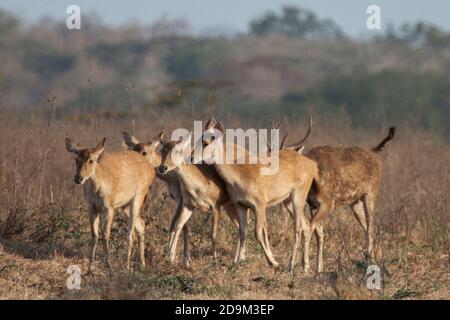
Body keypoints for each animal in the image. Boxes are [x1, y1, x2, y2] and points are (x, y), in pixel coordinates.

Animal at [64, 136, 156, 274]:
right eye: (76, 159)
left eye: (91, 160)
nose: (78, 178)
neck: (98, 186)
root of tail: (151, 170)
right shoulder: (92, 208)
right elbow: (95, 235)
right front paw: (90, 269)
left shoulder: (109, 208)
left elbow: (105, 234)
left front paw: (109, 268)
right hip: (125, 206)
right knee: (141, 224)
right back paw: (142, 265)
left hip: (138, 197)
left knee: (130, 234)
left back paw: (127, 267)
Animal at [202, 118, 318, 272]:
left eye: (209, 140)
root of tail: (311, 164)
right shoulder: (243, 206)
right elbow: (246, 231)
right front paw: (237, 261)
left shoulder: (260, 206)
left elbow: (258, 232)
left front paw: (272, 262)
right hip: (287, 202)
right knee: (306, 225)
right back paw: (305, 267)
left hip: (297, 197)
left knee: (298, 228)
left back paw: (291, 266)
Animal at [300, 126, 396, 272]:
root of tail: (375, 152)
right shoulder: (313, 205)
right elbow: (319, 234)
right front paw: (318, 268)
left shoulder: (328, 202)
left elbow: (310, 228)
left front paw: (305, 267)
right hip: (355, 202)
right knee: (366, 226)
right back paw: (371, 257)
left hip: (371, 193)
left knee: (371, 225)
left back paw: (370, 260)